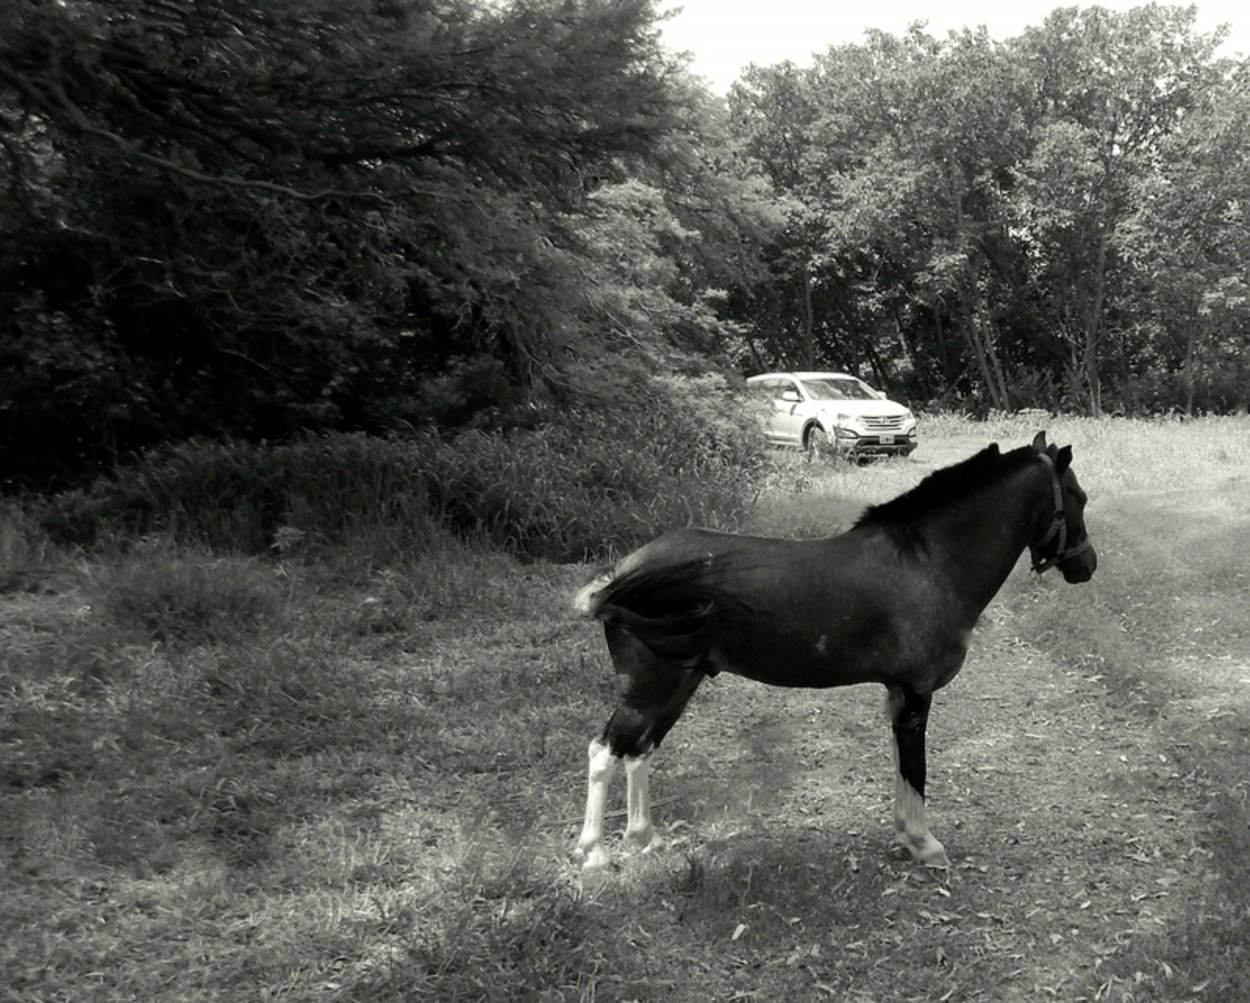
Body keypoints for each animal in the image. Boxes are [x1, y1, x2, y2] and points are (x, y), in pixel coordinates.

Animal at [572, 430, 1100, 865]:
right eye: (1079, 497)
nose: (1087, 565)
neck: (927, 562)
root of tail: (623, 574)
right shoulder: (916, 692)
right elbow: (915, 768)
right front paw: (924, 844)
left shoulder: (897, 693)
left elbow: (900, 765)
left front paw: (905, 834)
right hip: (649, 687)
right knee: (605, 752)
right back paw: (594, 854)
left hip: (678, 682)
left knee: (639, 752)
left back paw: (644, 839)